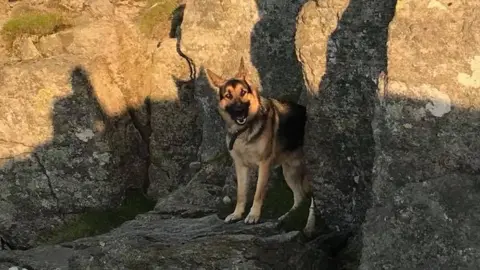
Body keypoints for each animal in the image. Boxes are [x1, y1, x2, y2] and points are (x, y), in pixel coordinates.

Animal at [205, 58, 316, 235]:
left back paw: (309, 225)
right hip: (289, 171)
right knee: (299, 198)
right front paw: (237, 214)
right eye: (228, 95)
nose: (240, 110)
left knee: (312, 200)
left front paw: (253, 216)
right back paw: (285, 217)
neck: (244, 131)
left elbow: (258, 193)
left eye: (243, 92)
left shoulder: (264, 164)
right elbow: (241, 193)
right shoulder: (241, 166)